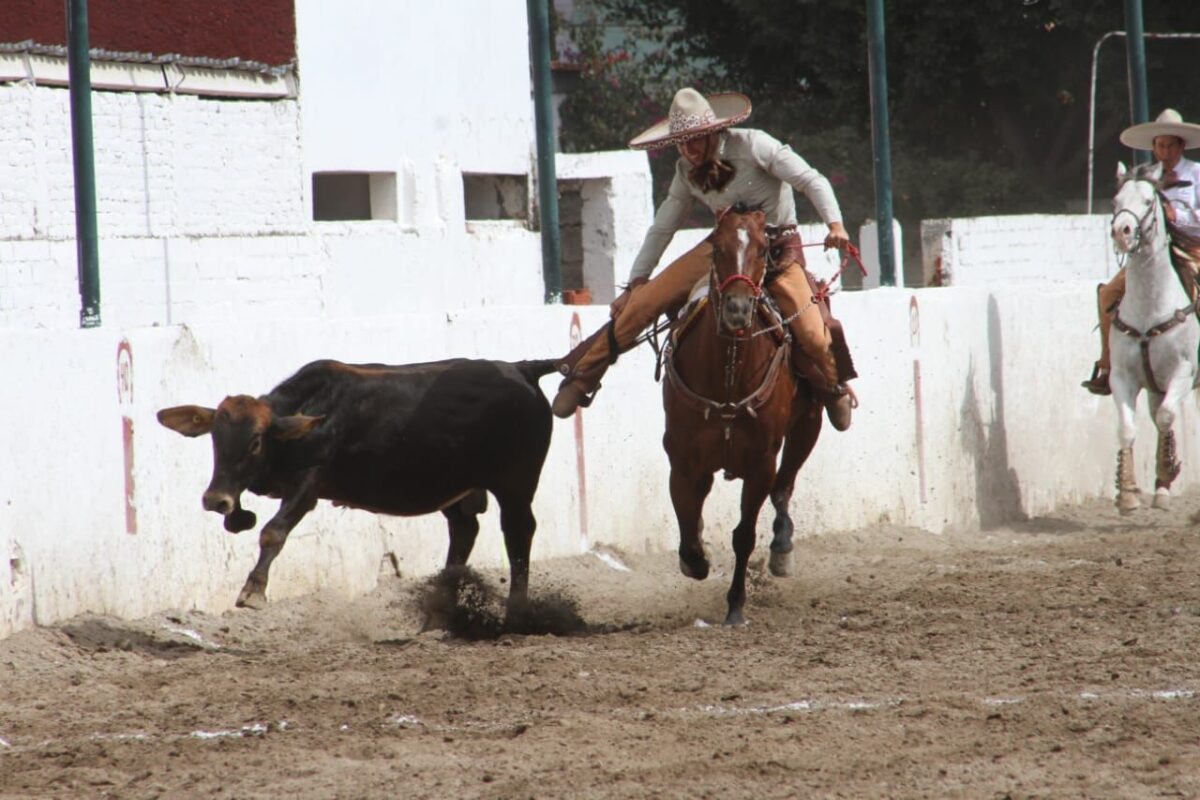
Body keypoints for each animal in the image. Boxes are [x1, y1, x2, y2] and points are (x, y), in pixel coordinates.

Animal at [156, 359, 561, 609]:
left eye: (255, 441)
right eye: (215, 439)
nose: (215, 499)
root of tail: (522, 370)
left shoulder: (308, 484)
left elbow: (273, 531)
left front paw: (252, 590)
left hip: (516, 485)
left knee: (518, 533)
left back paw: (516, 612)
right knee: (464, 530)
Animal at [667, 205, 825, 623]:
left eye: (761, 250)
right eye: (716, 248)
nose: (737, 310)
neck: (729, 376)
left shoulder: (760, 463)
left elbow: (744, 535)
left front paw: (736, 605)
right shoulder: (682, 459)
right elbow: (687, 524)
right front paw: (696, 560)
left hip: (809, 423)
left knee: (785, 483)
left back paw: (782, 546)